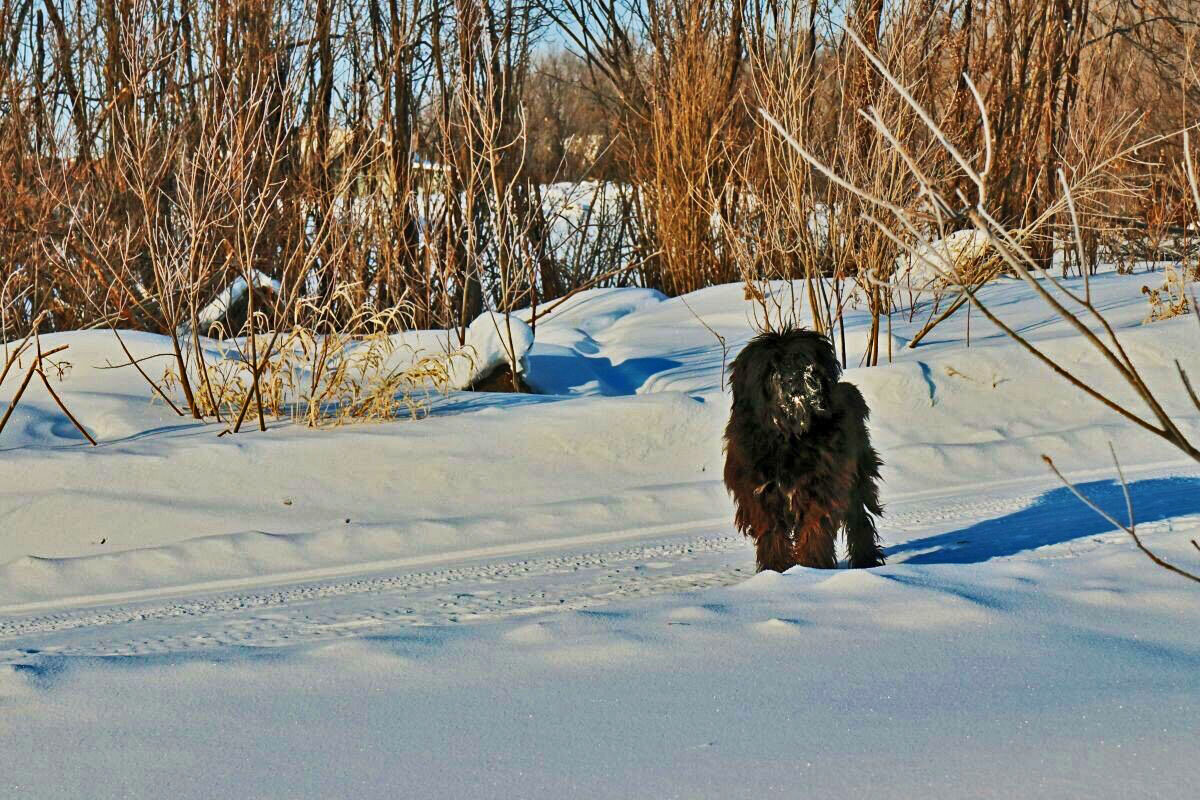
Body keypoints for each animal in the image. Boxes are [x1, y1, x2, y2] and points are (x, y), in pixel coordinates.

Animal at [720, 328, 883, 573]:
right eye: (772, 366)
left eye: (803, 359)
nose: (794, 377)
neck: (789, 438)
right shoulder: (761, 497)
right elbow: (773, 536)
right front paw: (776, 571)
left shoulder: (821, 490)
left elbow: (814, 532)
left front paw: (811, 569)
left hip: (857, 478)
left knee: (859, 520)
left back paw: (866, 562)